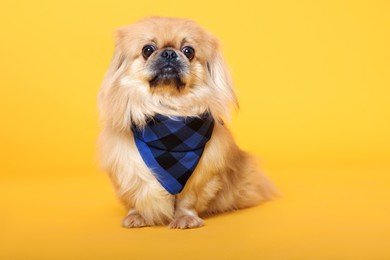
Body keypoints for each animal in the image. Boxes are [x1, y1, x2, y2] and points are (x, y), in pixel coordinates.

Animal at [98, 16, 278, 229]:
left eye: (188, 51)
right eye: (147, 50)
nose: (168, 53)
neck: (169, 109)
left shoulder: (202, 174)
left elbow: (188, 199)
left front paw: (185, 219)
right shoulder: (128, 168)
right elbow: (136, 194)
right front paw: (138, 215)